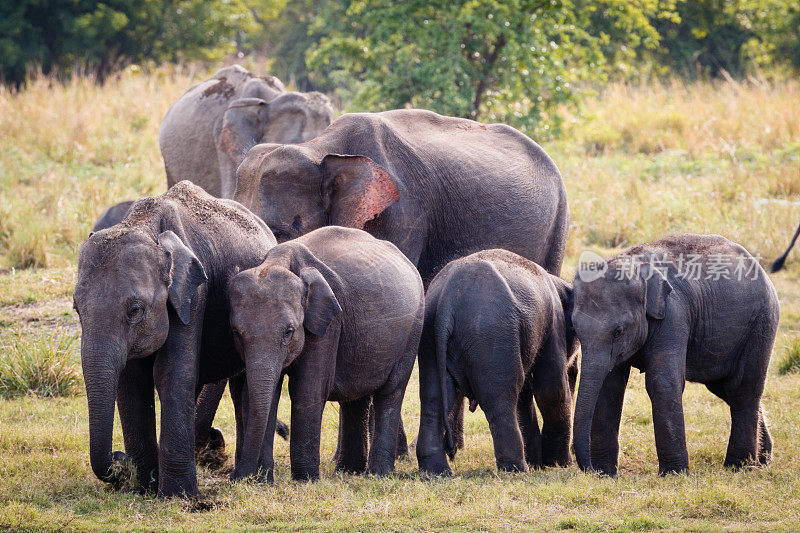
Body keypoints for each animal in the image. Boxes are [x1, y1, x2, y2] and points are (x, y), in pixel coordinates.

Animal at [72, 181, 278, 496]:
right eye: (76, 309)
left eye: (134, 310)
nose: (119, 460)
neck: (143, 224)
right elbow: (131, 380)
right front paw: (144, 490)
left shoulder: (192, 295)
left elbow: (171, 373)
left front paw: (178, 497)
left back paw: (249, 479)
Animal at [227, 222, 424, 480]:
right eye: (236, 333)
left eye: (289, 332)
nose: (238, 477)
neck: (278, 260)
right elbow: (262, 392)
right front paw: (263, 481)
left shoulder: (328, 324)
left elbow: (307, 390)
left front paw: (305, 480)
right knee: (356, 396)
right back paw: (349, 471)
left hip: (414, 328)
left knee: (391, 392)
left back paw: (378, 474)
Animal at [416, 249, 580, 474]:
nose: (574, 369)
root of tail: (447, 300)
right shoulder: (553, 322)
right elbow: (551, 389)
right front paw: (557, 464)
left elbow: (526, 395)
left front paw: (540, 463)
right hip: (491, 334)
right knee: (500, 397)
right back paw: (517, 469)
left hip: (430, 337)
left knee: (433, 398)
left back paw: (436, 471)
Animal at [572, 235, 780, 476]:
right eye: (575, 330)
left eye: (618, 332)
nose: (589, 470)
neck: (635, 266)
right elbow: (609, 386)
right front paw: (606, 474)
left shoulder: (674, 313)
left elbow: (662, 382)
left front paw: (674, 474)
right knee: (725, 389)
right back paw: (762, 460)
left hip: (761, 323)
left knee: (742, 389)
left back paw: (738, 467)